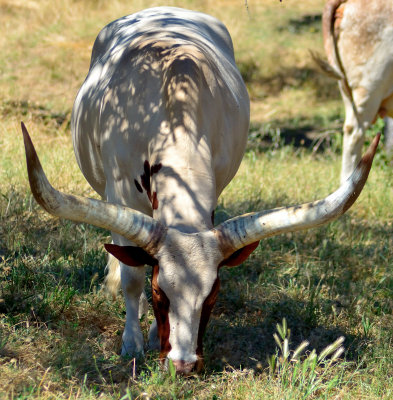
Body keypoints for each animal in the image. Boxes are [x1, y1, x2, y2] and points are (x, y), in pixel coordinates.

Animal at [20, 6, 376, 376]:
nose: (183, 364)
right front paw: (131, 342)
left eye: (213, 294)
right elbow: (132, 275)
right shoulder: (119, 193)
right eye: (159, 293)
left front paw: (152, 337)